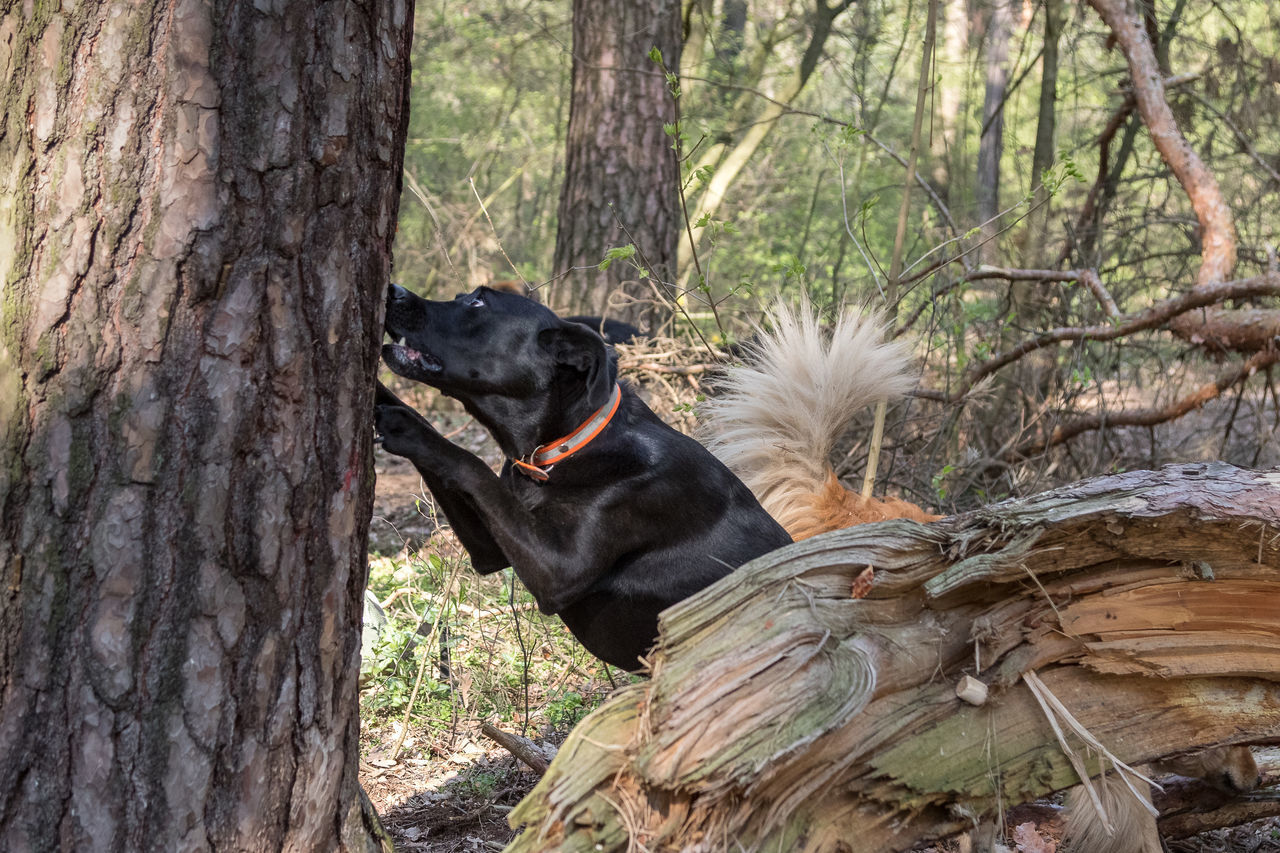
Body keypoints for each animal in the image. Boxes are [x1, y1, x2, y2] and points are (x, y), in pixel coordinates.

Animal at [373, 281, 788, 666]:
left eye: (478, 302)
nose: (392, 288)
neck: (563, 448)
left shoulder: (559, 570)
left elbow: (469, 463)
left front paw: (406, 428)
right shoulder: (489, 550)